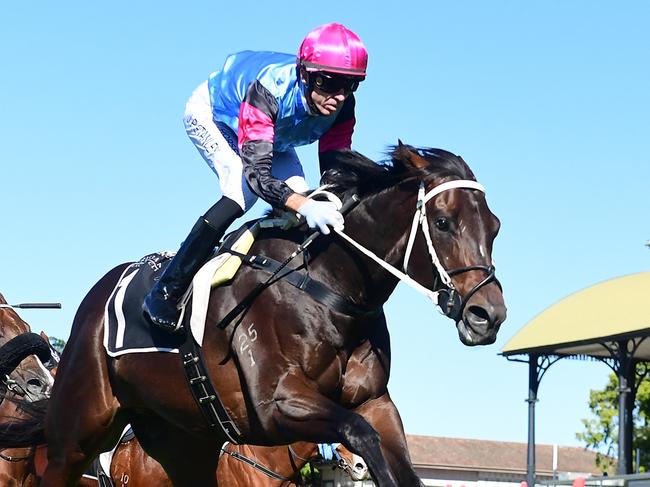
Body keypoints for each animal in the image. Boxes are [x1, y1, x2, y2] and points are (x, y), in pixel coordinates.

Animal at [6, 143, 502, 486]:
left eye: (494, 227)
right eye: (442, 222)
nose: (488, 315)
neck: (329, 286)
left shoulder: (375, 402)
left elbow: (393, 454)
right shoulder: (276, 404)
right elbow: (360, 433)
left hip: (182, 442)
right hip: (77, 432)